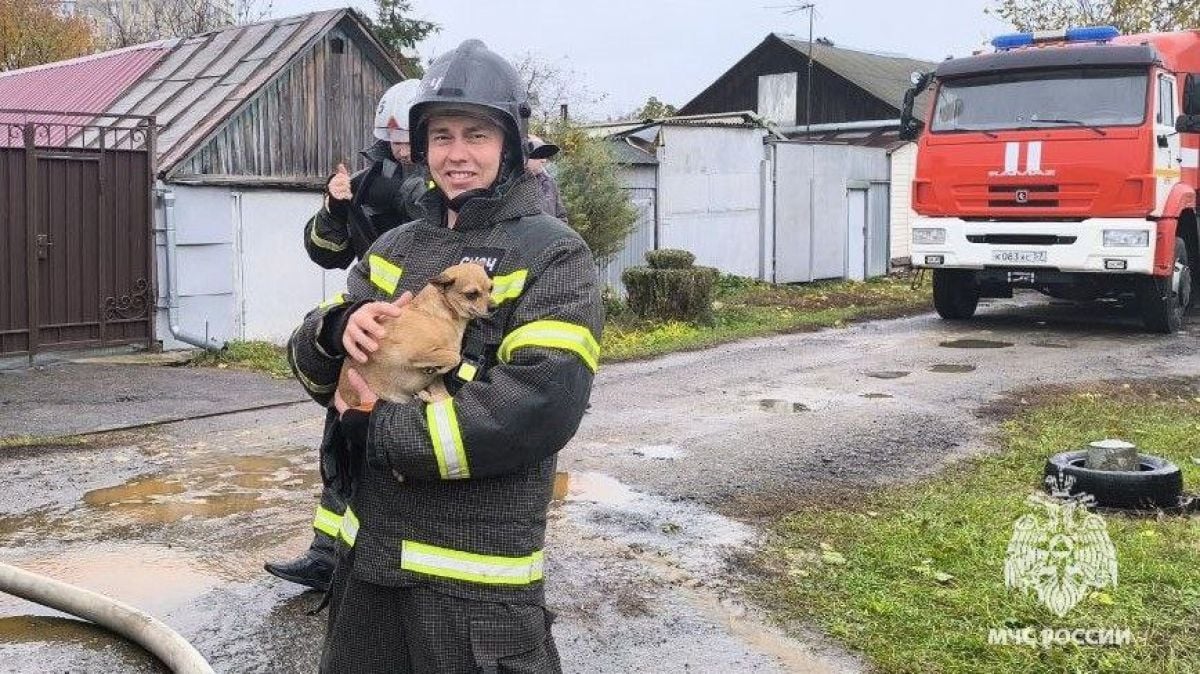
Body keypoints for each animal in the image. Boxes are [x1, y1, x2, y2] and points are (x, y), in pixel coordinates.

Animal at [336, 262, 494, 407]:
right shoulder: (416, 353)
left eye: (491, 288)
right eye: (471, 295)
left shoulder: (436, 382)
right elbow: (454, 357)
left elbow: (444, 393)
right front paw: (438, 367)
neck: (439, 314)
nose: (494, 307)